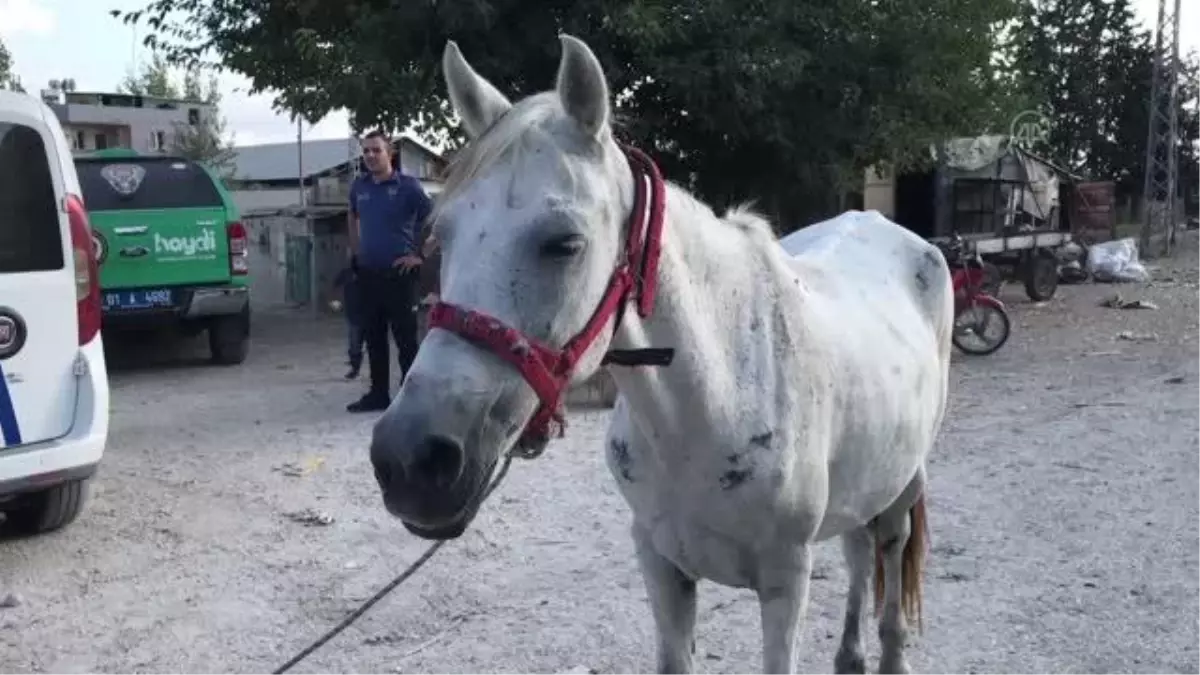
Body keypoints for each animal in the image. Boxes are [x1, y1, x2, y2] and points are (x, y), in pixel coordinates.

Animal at [369, 35, 950, 672]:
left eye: (564, 243)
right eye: (440, 235)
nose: (410, 460)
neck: (716, 398)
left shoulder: (785, 581)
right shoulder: (660, 564)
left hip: (904, 485)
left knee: (888, 561)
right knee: (855, 552)